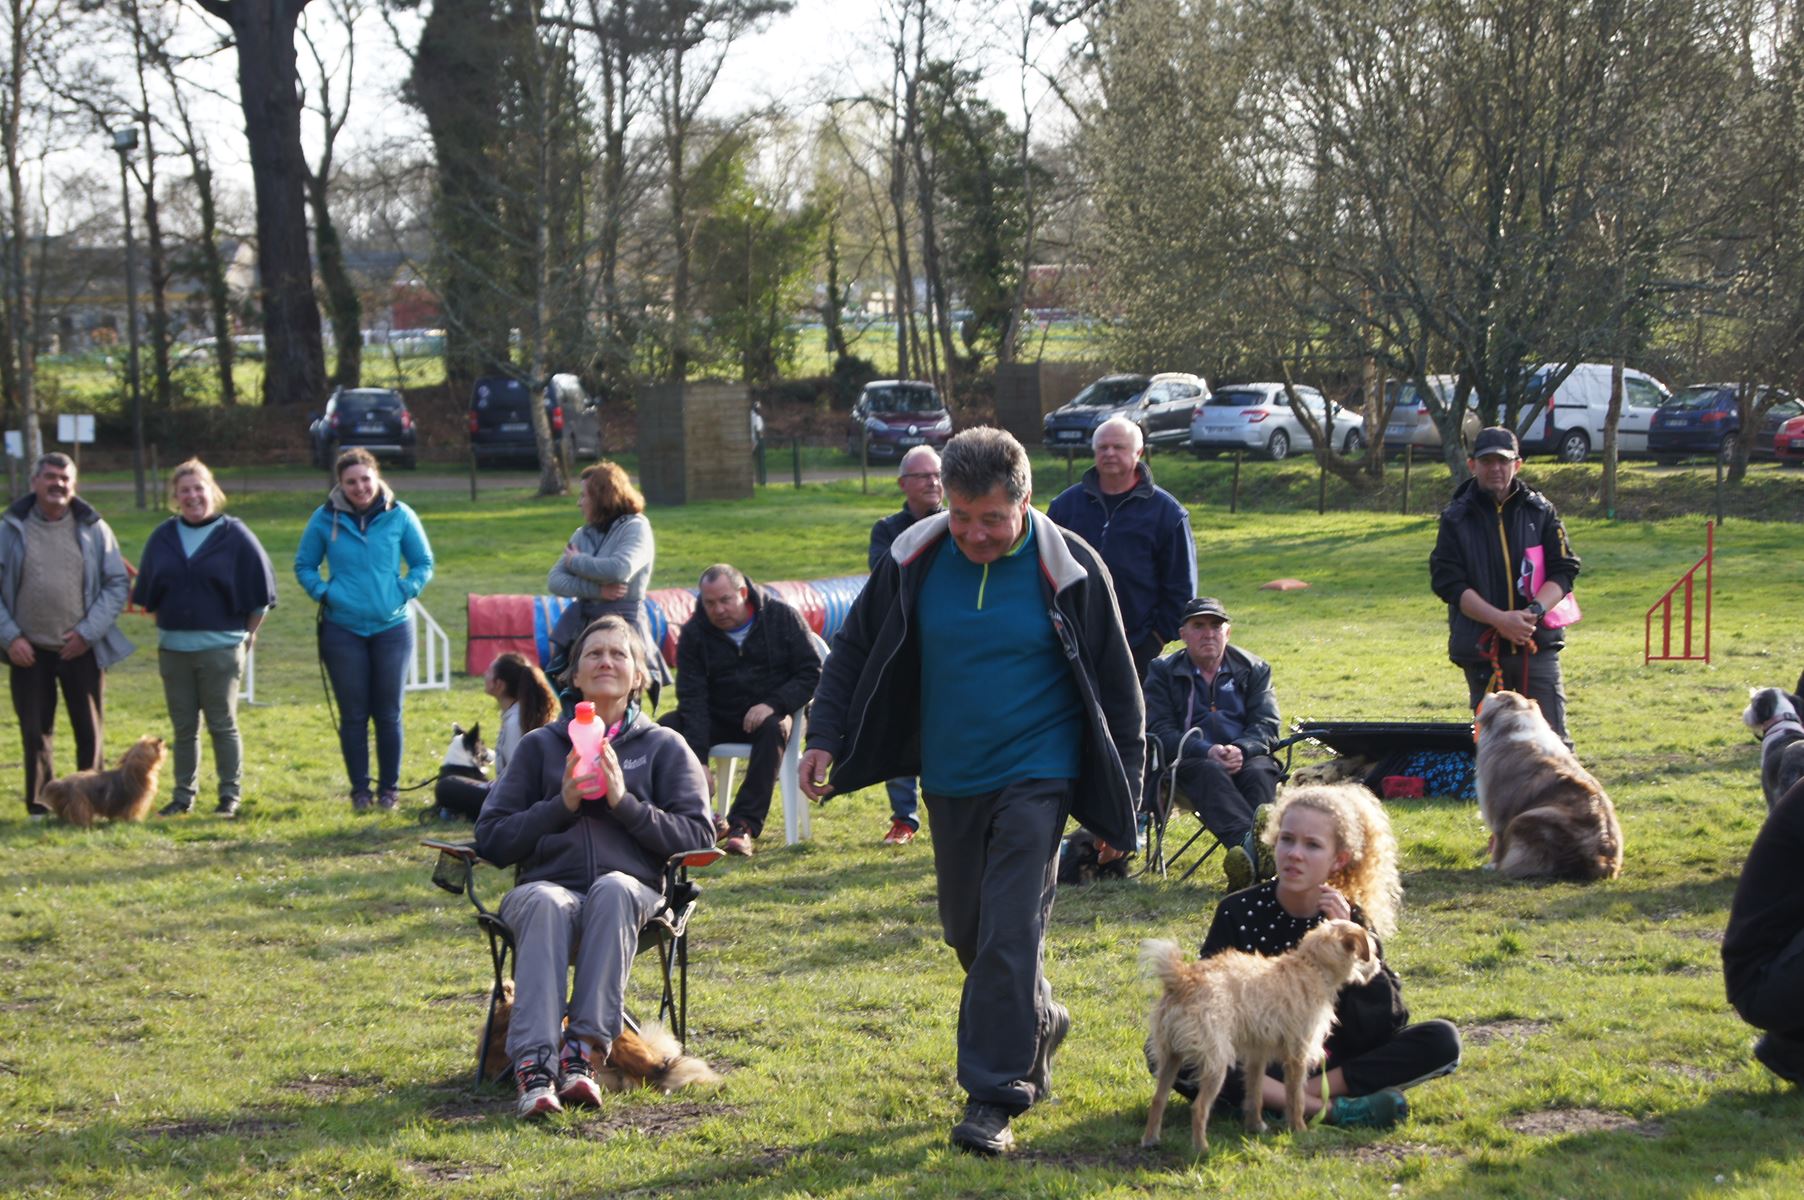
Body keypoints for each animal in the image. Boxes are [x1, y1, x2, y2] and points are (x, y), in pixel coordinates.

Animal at [39, 736, 167, 830]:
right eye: (151, 744)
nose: (160, 738)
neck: (135, 774)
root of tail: (64, 784)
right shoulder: (133, 804)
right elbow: (130, 814)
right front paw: (133, 822)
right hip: (80, 802)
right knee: (79, 815)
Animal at [1140, 916, 1378, 1154]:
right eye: (1371, 950)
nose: (1378, 965)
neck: (1312, 966)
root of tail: (1182, 979)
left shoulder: (1257, 1054)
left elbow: (1255, 1092)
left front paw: (1255, 1126)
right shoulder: (1297, 1055)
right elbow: (1296, 1097)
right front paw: (1299, 1129)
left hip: (1171, 1056)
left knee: (1158, 1099)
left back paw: (1150, 1139)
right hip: (1216, 1063)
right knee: (1198, 1107)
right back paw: (1202, 1149)